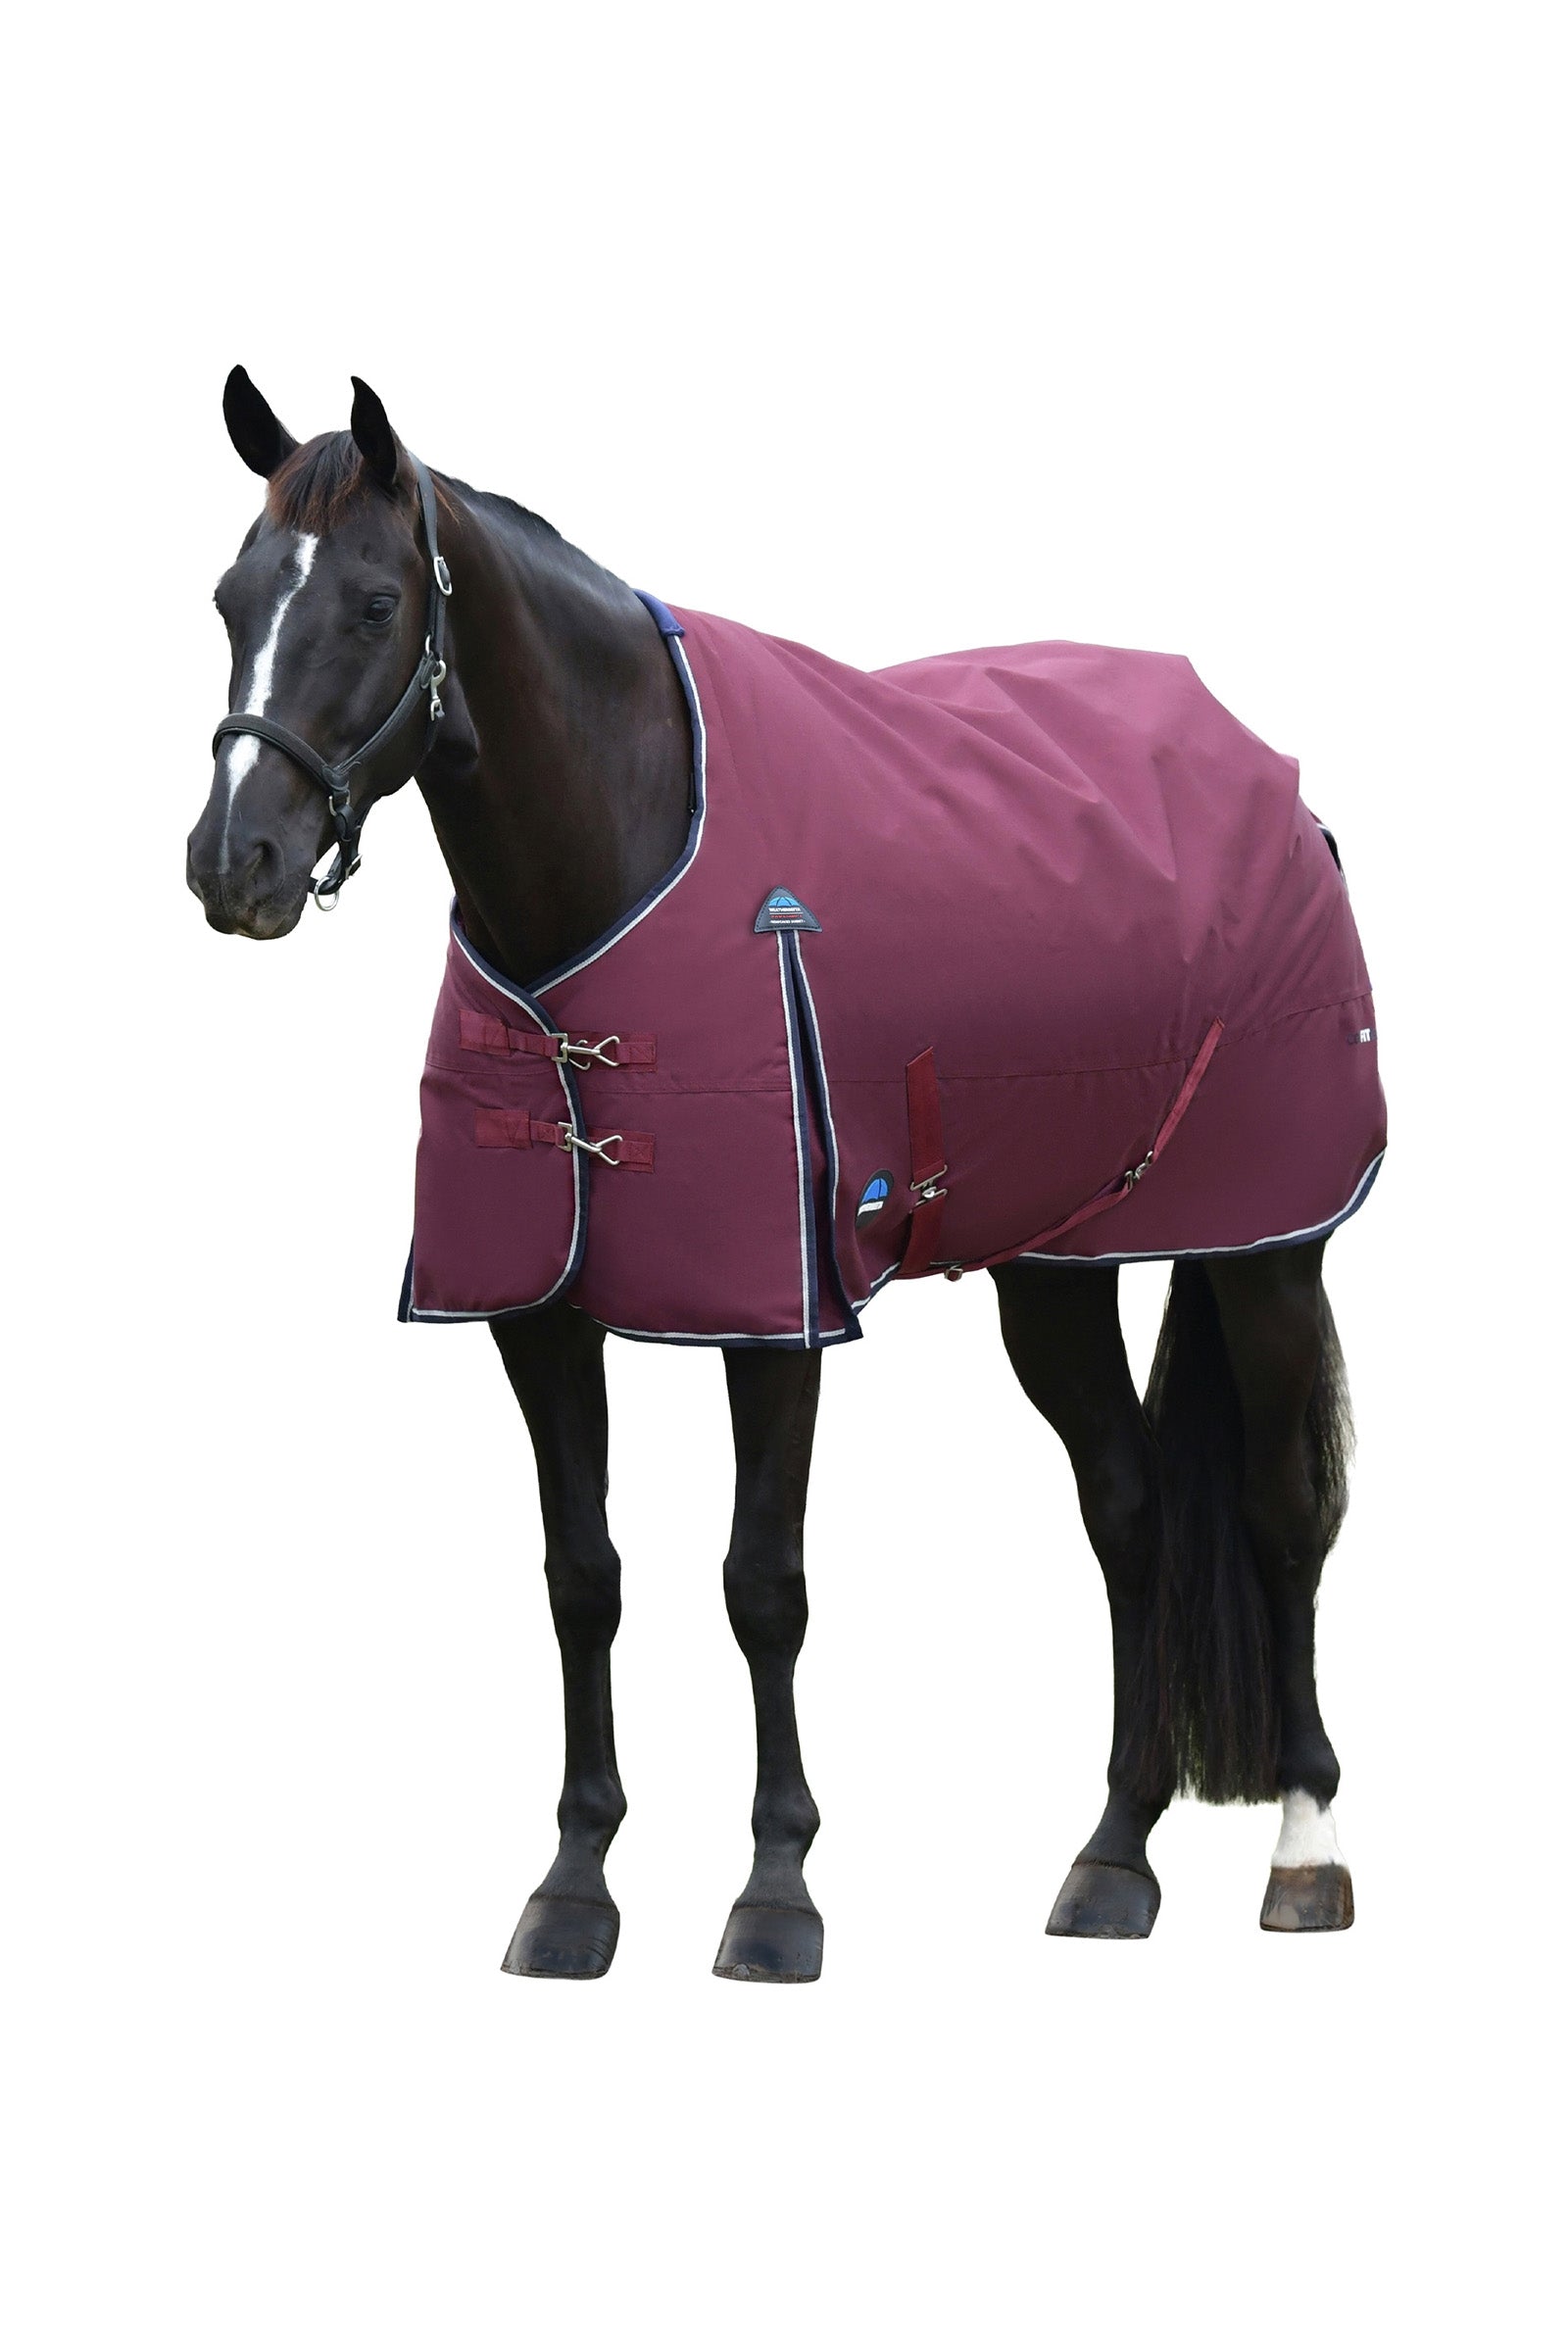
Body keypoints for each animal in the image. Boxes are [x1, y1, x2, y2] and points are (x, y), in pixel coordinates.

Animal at [187, 369, 1373, 1979]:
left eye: (375, 602)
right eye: (231, 597)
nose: (230, 862)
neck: (621, 855)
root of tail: (1273, 784)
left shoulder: (777, 1310)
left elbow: (764, 1585)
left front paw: (775, 1892)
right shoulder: (534, 1317)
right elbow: (582, 1579)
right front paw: (574, 1888)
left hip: (1266, 1249)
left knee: (1277, 1508)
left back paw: (1305, 1850)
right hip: (1056, 1270)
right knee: (1126, 1507)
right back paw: (1112, 1860)